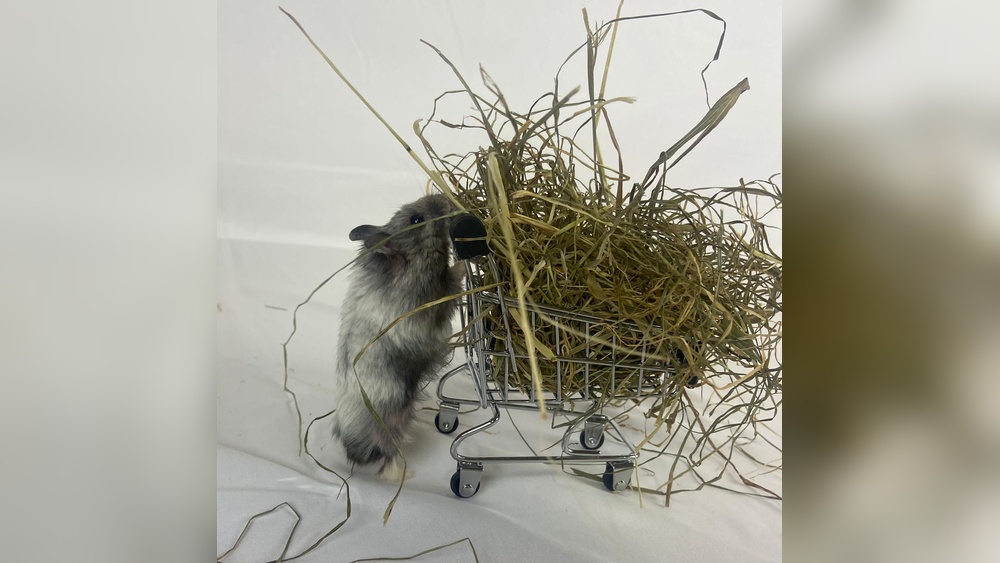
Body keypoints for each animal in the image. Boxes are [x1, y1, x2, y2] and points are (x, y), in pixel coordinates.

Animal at [332, 194, 464, 480]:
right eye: (416, 220)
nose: (444, 198)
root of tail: (353, 452)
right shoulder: (435, 300)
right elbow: (452, 280)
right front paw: (460, 263)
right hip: (390, 428)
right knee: (389, 459)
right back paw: (404, 475)